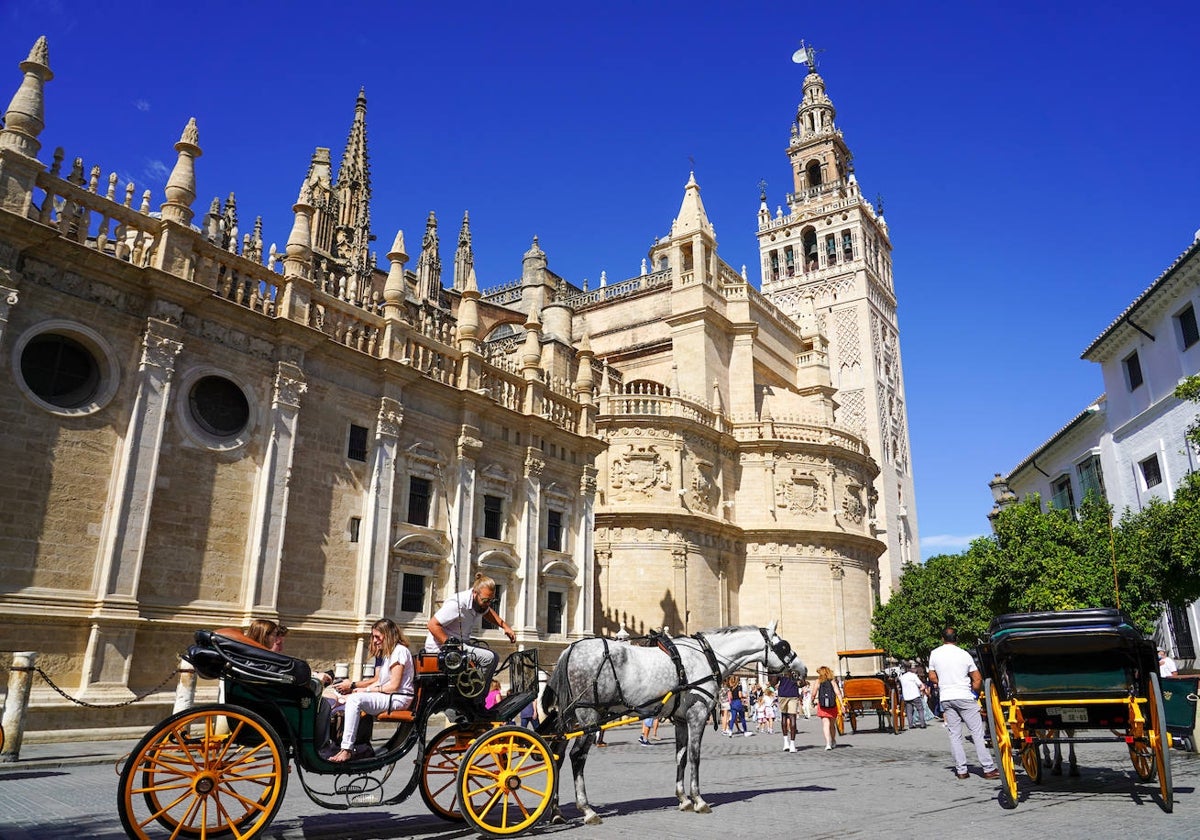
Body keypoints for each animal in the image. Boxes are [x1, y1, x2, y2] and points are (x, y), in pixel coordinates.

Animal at [542, 619, 806, 825]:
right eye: (784, 645)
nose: (803, 669)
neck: (707, 656)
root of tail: (570, 650)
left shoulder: (680, 720)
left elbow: (680, 756)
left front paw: (683, 799)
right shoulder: (697, 715)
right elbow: (695, 757)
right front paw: (698, 800)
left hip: (570, 719)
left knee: (556, 756)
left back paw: (556, 812)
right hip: (589, 716)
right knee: (577, 757)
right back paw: (587, 810)